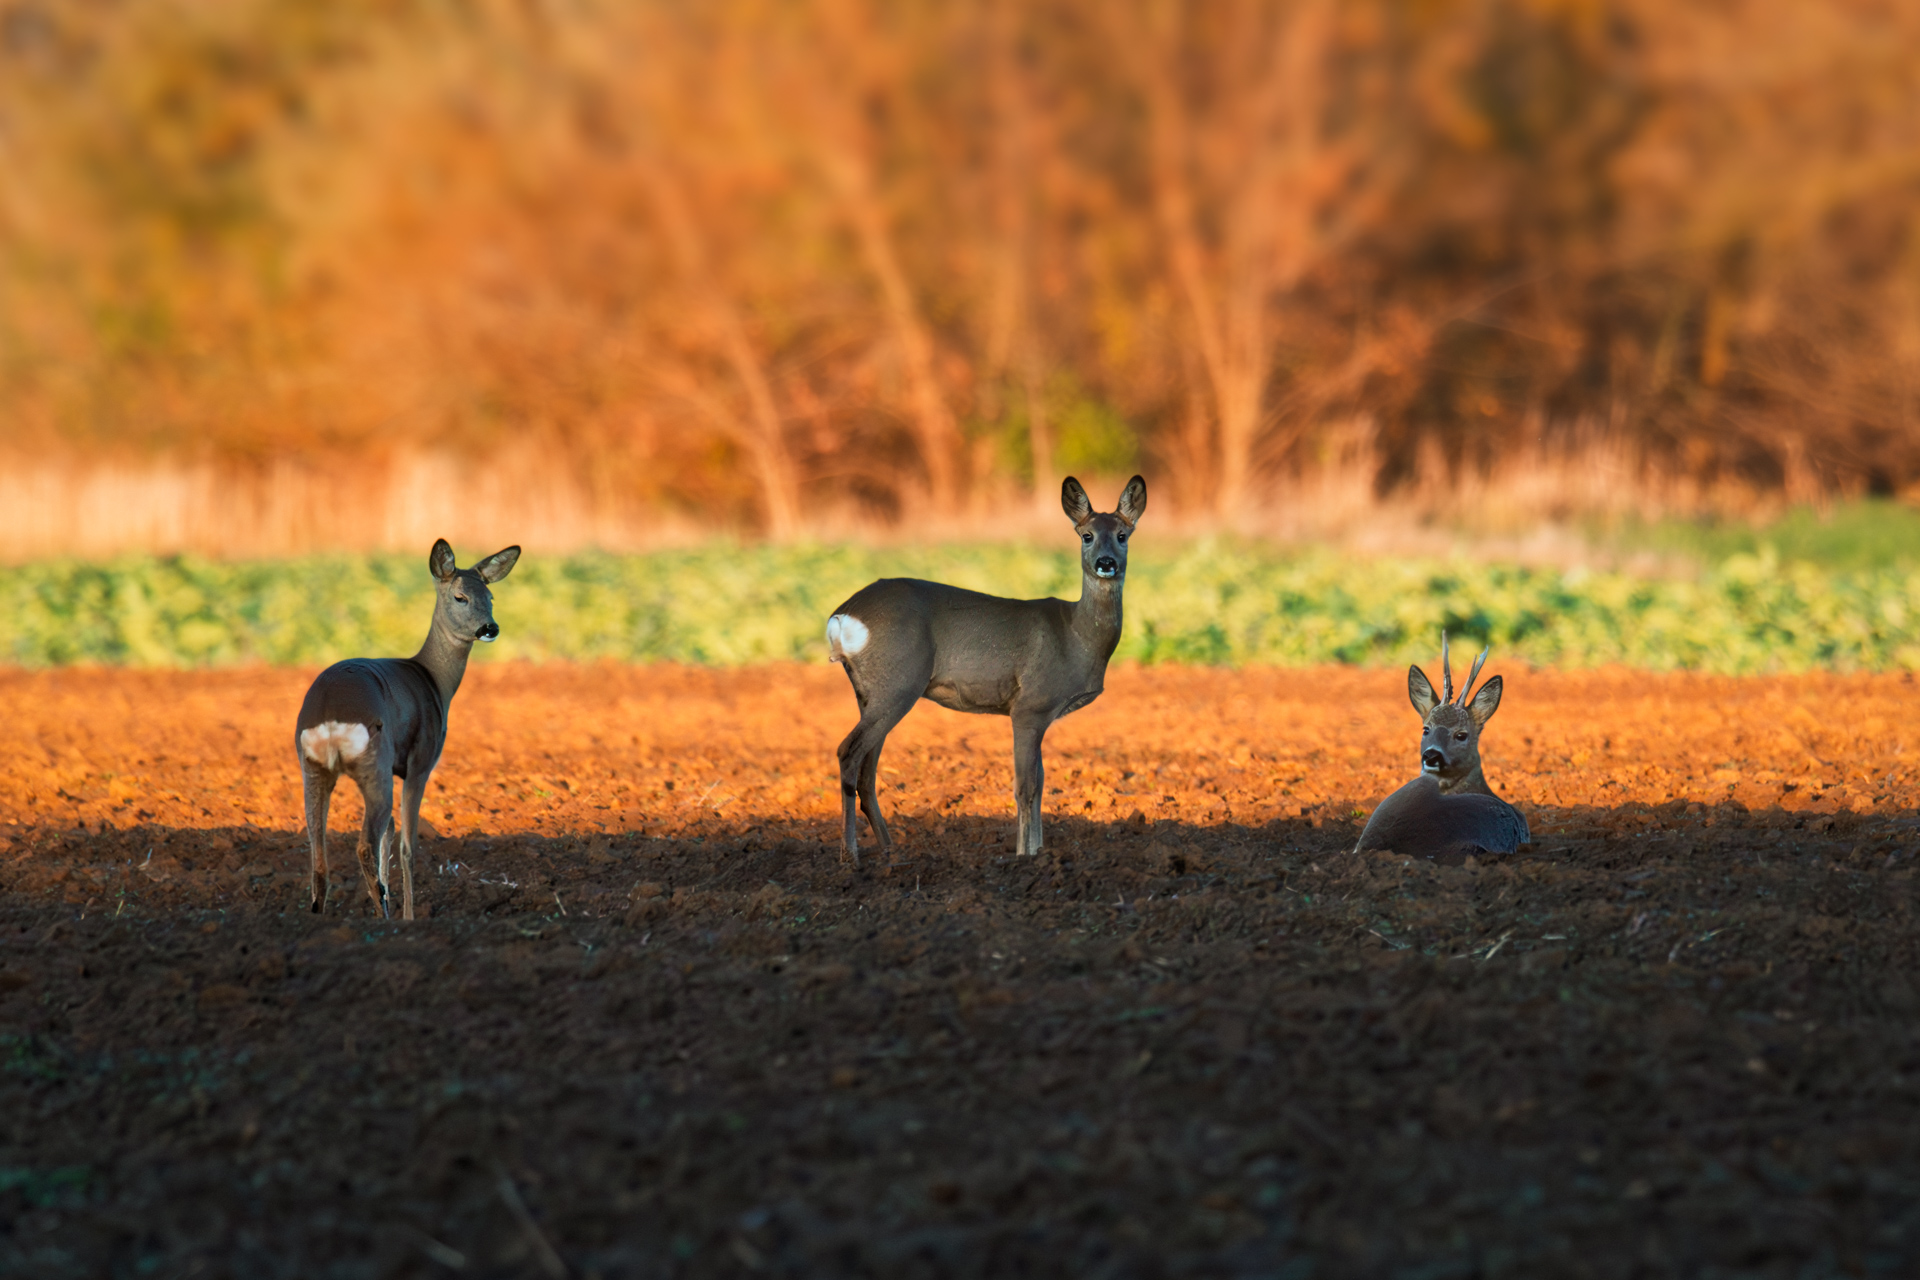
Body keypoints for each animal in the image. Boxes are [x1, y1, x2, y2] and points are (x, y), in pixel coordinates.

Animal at [294, 539, 519, 919]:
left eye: (490, 596)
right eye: (460, 596)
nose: (490, 628)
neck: (433, 679)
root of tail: (329, 718)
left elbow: (389, 840)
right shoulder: (420, 761)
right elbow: (407, 847)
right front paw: (410, 917)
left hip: (312, 768)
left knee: (319, 852)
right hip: (376, 764)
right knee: (364, 845)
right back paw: (384, 917)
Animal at [826, 475, 1148, 864]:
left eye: (1122, 534)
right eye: (1086, 535)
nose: (1106, 562)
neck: (1077, 636)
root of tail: (842, 615)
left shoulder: (1040, 713)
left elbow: (1041, 783)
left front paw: (1038, 850)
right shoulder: (1031, 705)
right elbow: (1026, 787)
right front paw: (1025, 856)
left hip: (870, 691)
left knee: (867, 769)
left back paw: (890, 850)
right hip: (898, 683)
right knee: (848, 751)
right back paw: (850, 856)